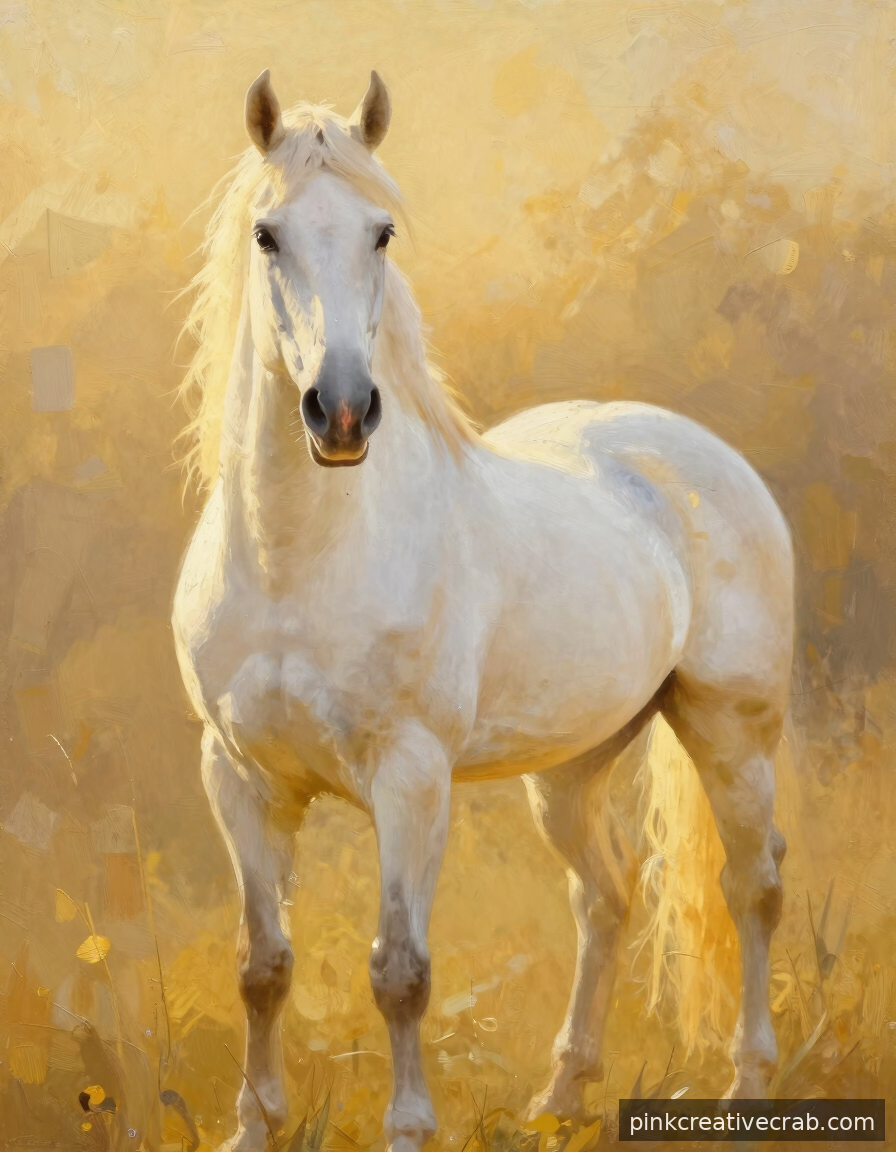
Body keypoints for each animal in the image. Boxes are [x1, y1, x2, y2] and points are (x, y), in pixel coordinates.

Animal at [172, 69, 793, 1152]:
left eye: (381, 232)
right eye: (266, 234)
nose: (342, 412)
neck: (300, 564)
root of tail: (692, 448)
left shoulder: (411, 778)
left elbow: (400, 973)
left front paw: (408, 1128)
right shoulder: (240, 778)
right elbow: (262, 967)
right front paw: (253, 1127)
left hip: (729, 730)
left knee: (749, 888)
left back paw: (745, 1089)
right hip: (574, 765)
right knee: (606, 894)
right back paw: (563, 1094)